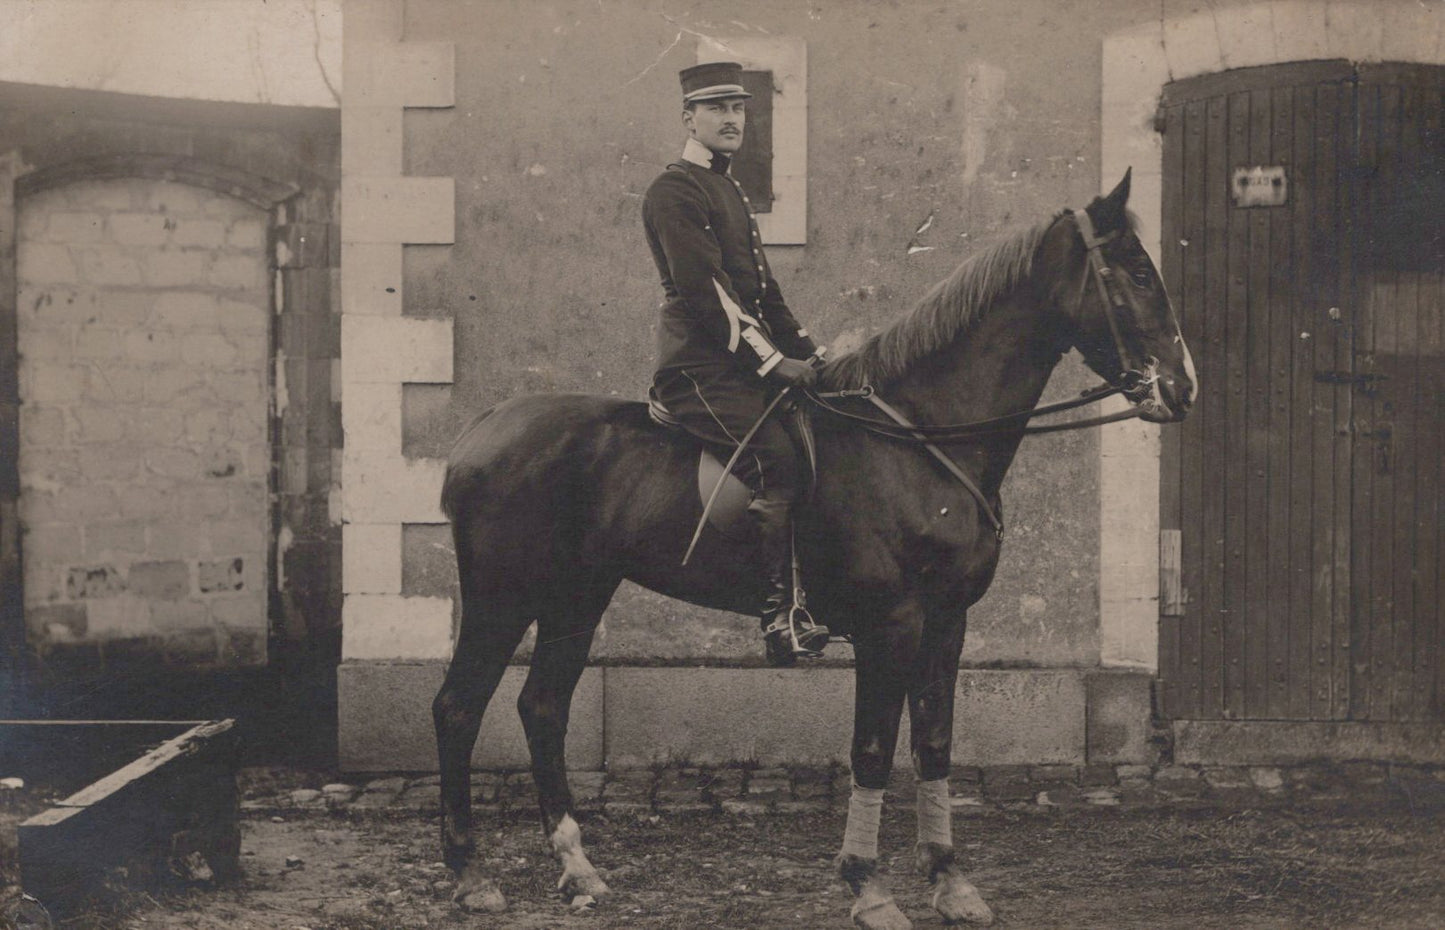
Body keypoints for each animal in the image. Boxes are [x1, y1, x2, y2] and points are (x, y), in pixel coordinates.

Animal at [434, 170, 1195, 929]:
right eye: (1136, 271)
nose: (1181, 387)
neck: (921, 438)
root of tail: (483, 427)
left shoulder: (948, 620)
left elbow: (934, 742)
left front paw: (949, 880)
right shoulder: (890, 623)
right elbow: (872, 750)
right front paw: (868, 886)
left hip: (578, 595)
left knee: (542, 707)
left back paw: (578, 868)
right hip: (503, 598)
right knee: (458, 708)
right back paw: (471, 874)